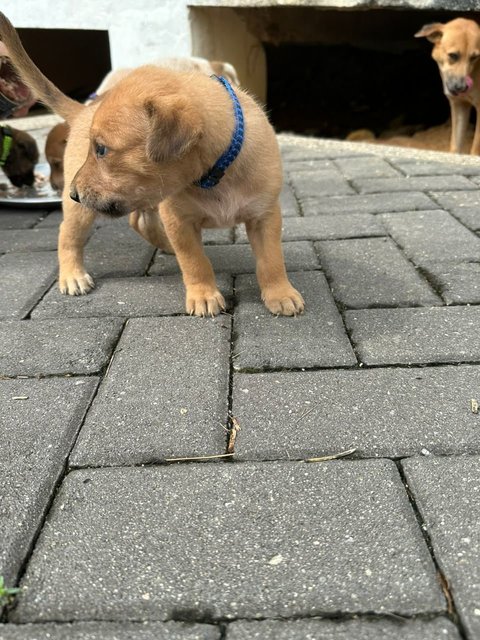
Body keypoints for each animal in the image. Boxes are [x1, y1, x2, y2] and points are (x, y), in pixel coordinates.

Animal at [0, 11, 304, 316]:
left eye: (101, 149)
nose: (74, 192)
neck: (215, 175)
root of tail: (84, 109)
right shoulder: (178, 218)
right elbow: (195, 261)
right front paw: (204, 295)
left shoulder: (264, 215)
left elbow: (271, 259)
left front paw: (280, 293)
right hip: (87, 210)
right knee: (68, 234)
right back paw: (73, 275)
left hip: (140, 196)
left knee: (139, 221)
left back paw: (165, 245)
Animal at [414, 18, 480, 154]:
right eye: (453, 55)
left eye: (474, 57)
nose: (462, 87)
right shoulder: (459, 106)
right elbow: (455, 145)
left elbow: (475, 148)